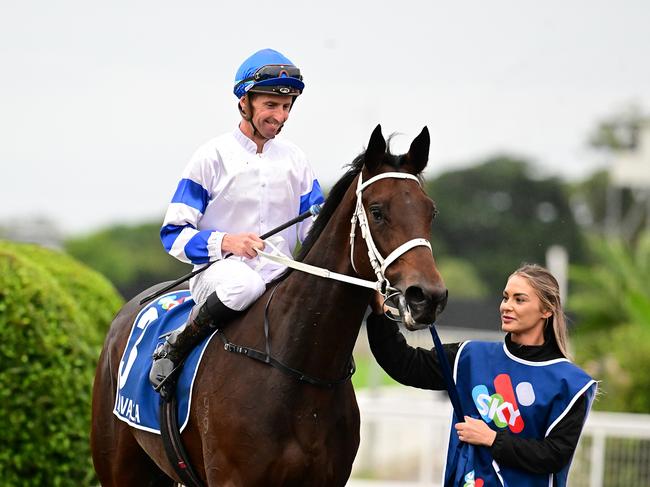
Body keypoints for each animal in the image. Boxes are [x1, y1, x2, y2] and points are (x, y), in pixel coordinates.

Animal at [90, 124, 446, 486]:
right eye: (377, 211)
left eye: (430, 211)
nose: (426, 296)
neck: (301, 370)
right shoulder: (233, 478)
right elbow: (177, 228)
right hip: (118, 465)